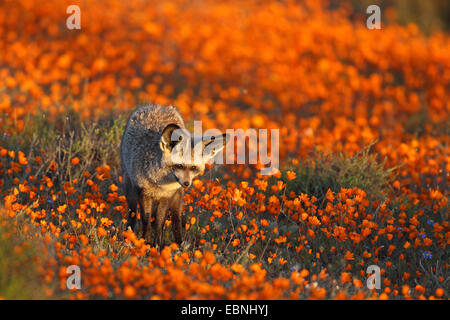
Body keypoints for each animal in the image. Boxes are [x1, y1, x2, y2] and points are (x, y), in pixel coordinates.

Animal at [119, 104, 227, 246]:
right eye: (179, 166)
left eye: (193, 168)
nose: (187, 183)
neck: (159, 184)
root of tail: (158, 106)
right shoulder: (143, 193)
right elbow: (146, 222)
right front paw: (144, 242)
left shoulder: (167, 196)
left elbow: (159, 223)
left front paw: (157, 245)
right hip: (130, 190)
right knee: (132, 214)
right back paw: (128, 235)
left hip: (177, 197)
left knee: (176, 220)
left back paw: (179, 244)